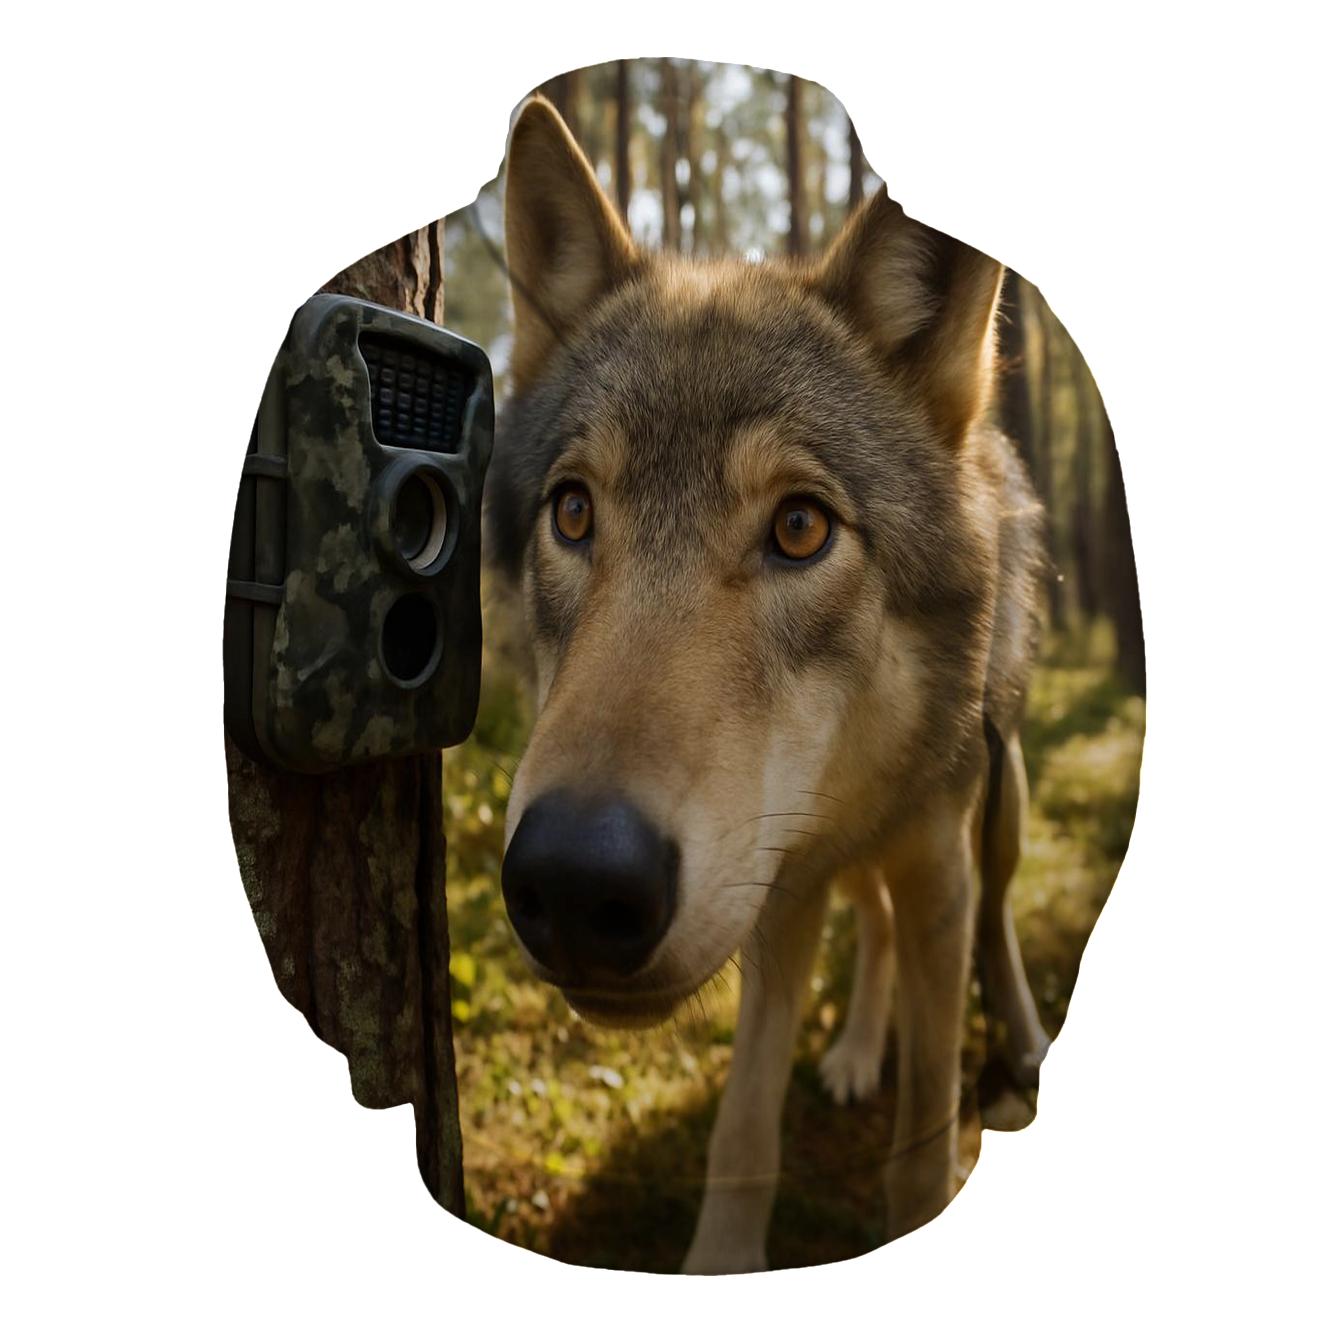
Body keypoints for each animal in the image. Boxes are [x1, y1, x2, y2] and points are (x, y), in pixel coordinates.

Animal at [486, 96, 1051, 1273]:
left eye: (799, 527)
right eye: (573, 512)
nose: (572, 882)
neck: (843, 807)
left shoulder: (937, 869)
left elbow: (921, 1145)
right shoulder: (779, 893)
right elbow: (743, 1130)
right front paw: (721, 1260)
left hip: (1001, 802)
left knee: (1002, 917)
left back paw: (1019, 1039)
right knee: (867, 921)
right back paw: (853, 1050)